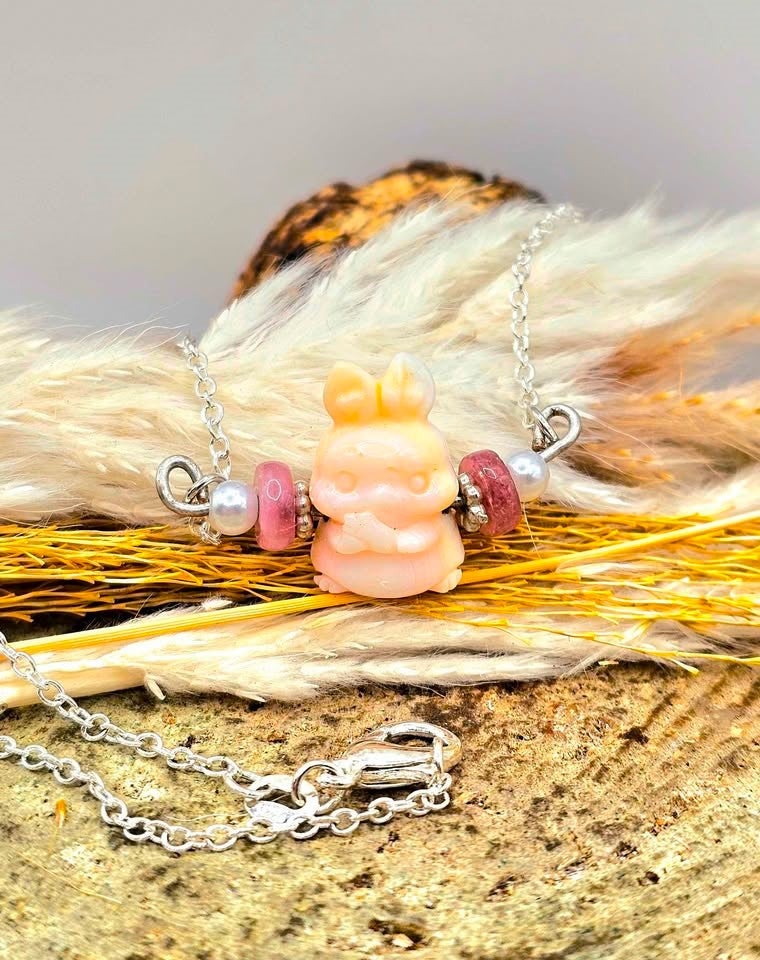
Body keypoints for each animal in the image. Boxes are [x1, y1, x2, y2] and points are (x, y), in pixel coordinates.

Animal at [310, 353, 464, 598]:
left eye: (418, 483)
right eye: (345, 483)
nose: (383, 498)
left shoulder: (427, 527)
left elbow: (412, 540)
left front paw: (370, 531)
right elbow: (340, 541)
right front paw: (358, 529)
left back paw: (448, 580)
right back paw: (329, 583)